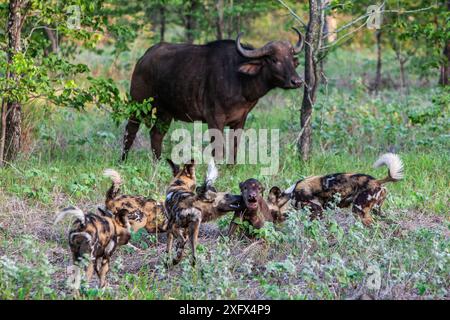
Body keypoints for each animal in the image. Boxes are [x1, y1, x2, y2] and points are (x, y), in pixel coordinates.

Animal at [123, 28, 304, 161]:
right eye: (274, 60)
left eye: (291, 59)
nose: (297, 81)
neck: (240, 80)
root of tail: (143, 59)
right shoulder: (214, 119)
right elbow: (218, 150)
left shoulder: (240, 120)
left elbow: (234, 147)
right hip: (137, 104)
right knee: (130, 131)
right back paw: (123, 160)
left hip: (166, 112)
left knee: (156, 134)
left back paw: (158, 162)